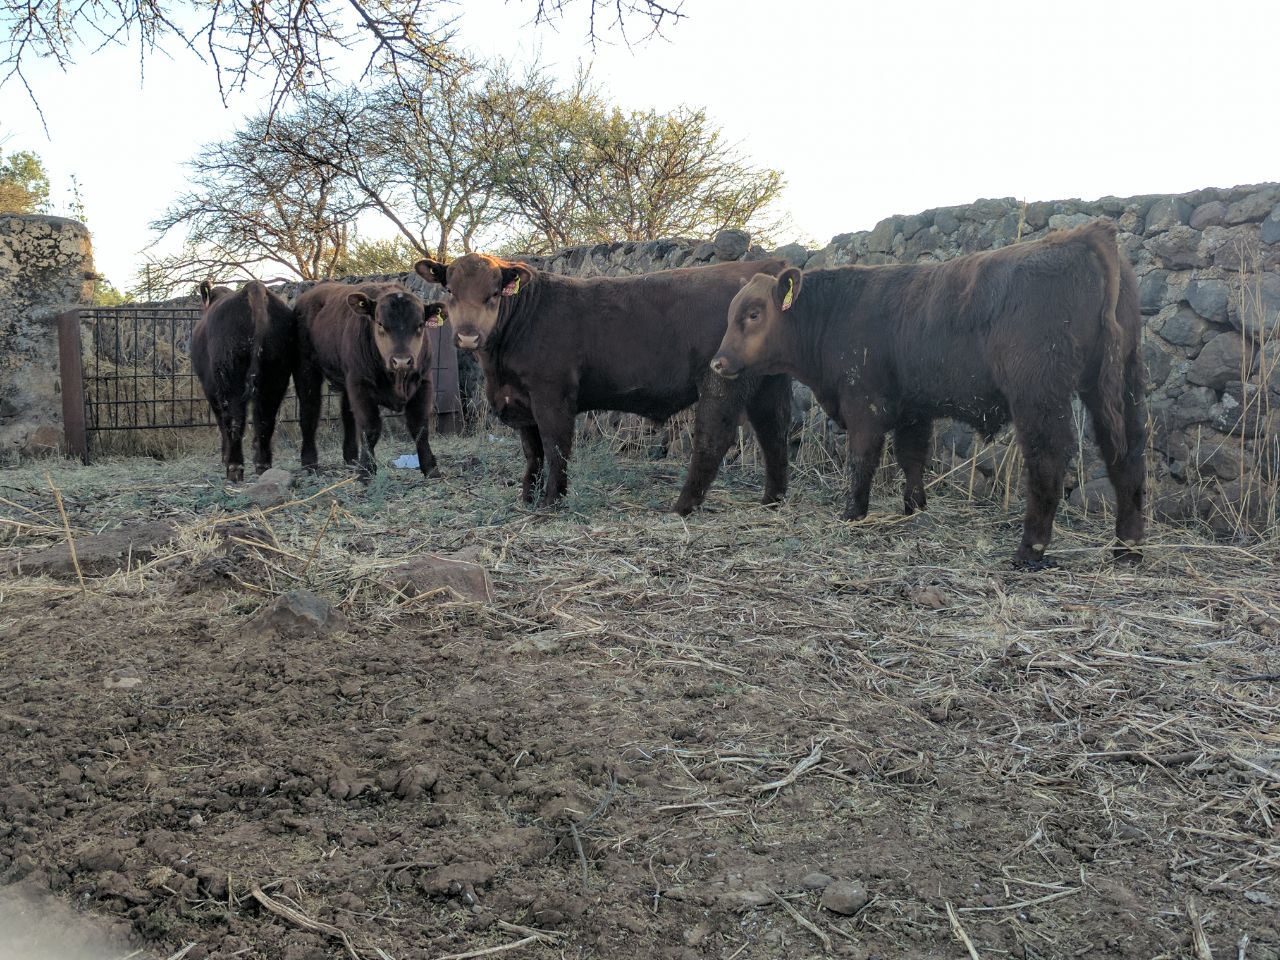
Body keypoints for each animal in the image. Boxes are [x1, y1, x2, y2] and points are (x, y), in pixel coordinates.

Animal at [190, 281, 295, 483]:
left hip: (229, 376)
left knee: (234, 418)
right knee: (265, 418)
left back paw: (234, 467)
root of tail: (254, 287)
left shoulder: (210, 387)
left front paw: (224, 456)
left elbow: (221, 421)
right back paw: (263, 465)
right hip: (276, 375)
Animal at [293, 284, 445, 481]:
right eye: (380, 323)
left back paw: (351, 460)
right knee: (309, 414)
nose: (401, 361)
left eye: (420, 324)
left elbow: (420, 428)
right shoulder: (361, 385)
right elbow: (370, 428)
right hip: (305, 369)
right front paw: (367, 470)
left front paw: (431, 469)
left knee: (348, 416)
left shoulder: (424, 383)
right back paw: (310, 464)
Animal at [414, 253, 793, 512]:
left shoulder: (552, 394)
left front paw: (551, 502)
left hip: (720, 378)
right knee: (774, 432)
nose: (467, 336)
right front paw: (527, 498)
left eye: (494, 293)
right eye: (449, 289)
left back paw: (682, 506)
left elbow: (555, 447)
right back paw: (772, 499)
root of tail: (764, 267)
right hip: (769, 384)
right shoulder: (521, 402)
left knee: (714, 438)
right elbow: (532, 452)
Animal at [716, 221, 1146, 568]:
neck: (836, 311)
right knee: (1126, 457)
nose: (718, 363)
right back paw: (1127, 548)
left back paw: (1030, 551)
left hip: (1038, 396)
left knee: (1048, 461)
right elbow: (912, 458)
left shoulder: (864, 407)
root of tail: (1082, 235)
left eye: (753, 314)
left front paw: (852, 513)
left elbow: (862, 460)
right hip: (1119, 387)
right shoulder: (913, 411)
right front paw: (913, 507)